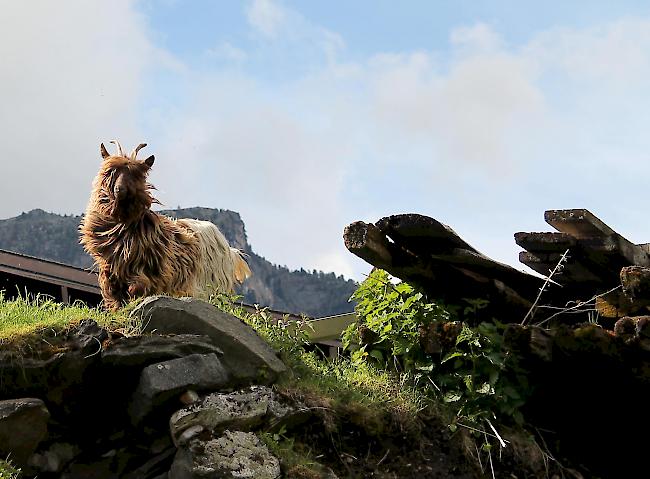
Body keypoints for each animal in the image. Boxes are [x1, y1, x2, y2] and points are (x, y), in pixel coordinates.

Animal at [79, 141, 251, 312]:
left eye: (136, 175)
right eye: (111, 172)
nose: (119, 189)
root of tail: (231, 250)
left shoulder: (146, 273)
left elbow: (136, 290)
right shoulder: (111, 272)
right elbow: (115, 299)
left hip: (212, 285)